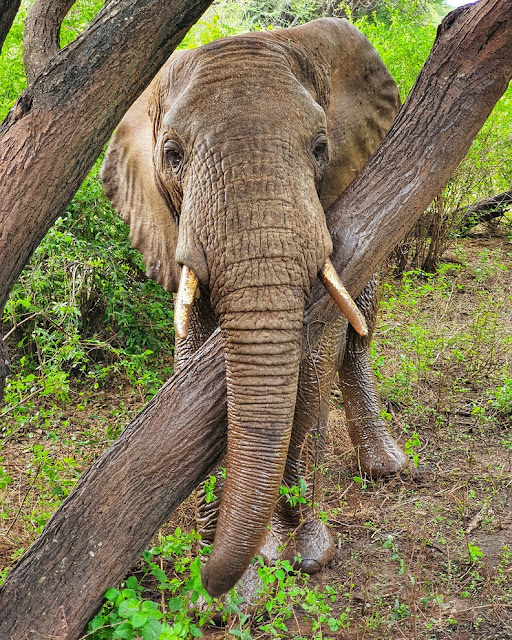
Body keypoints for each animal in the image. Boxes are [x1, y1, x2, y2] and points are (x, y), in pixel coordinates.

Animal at [101, 17, 408, 596]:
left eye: (320, 146)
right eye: (173, 154)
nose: (206, 579)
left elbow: (311, 369)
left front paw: (302, 550)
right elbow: (192, 371)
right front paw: (241, 576)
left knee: (359, 336)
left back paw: (387, 468)